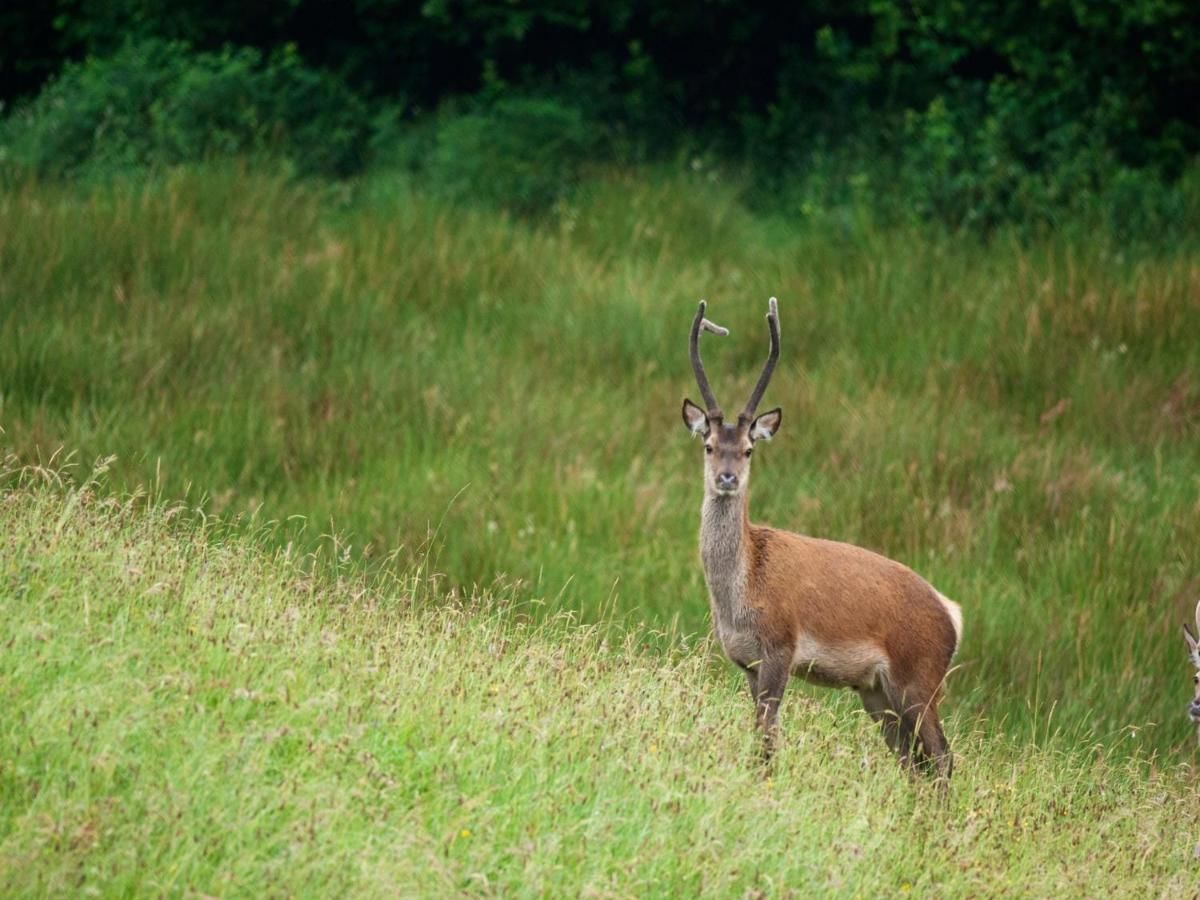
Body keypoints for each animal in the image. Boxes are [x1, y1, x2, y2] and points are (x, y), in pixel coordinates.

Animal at [681, 297, 960, 782]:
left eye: (749, 449)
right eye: (709, 445)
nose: (727, 477)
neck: (741, 592)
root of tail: (954, 616)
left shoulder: (781, 646)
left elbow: (769, 738)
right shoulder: (746, 661)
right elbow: (760, 732)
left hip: (919, 678)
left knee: (943, 757)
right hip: (877, 692)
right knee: (914, 761)